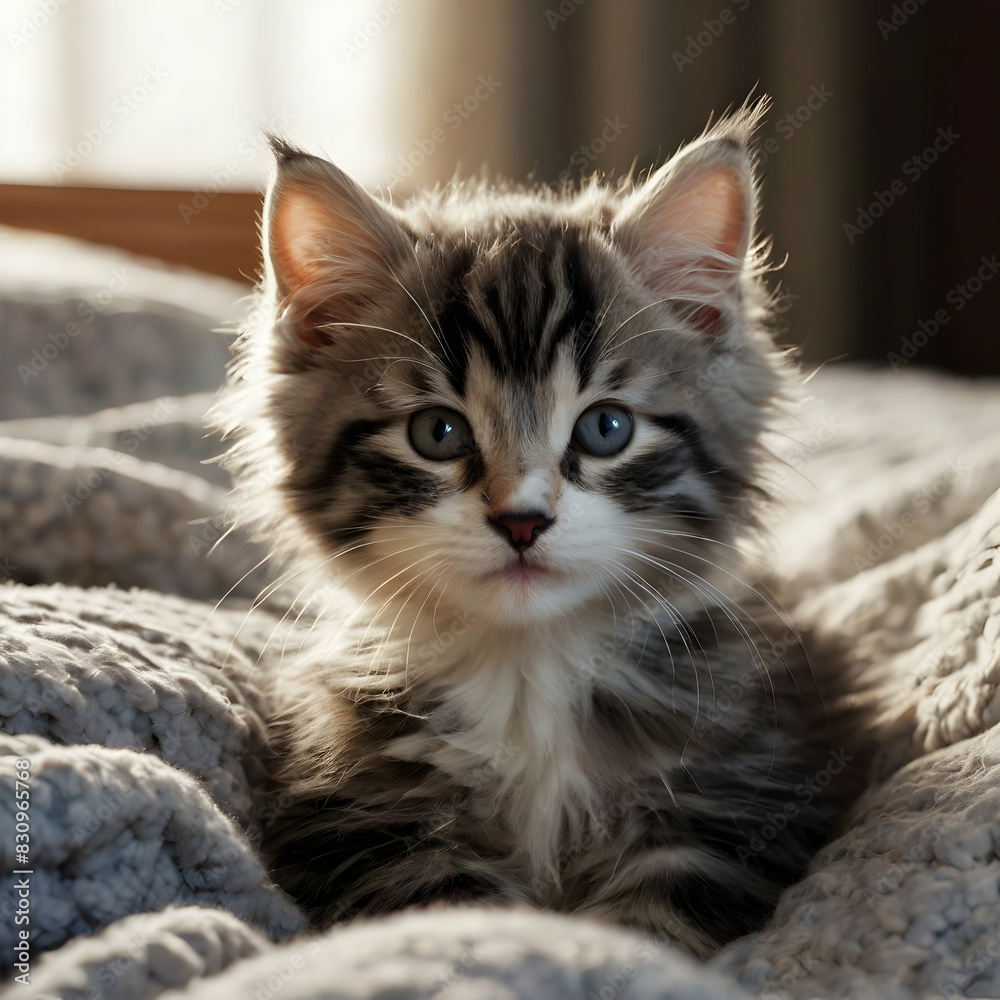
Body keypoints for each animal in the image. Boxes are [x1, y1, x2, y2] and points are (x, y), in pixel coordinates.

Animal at [217, 103, 836, 960]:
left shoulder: (733, 806)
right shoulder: (363, 819)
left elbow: (655, 934)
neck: (527, 672)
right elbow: (451, 917)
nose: (521, 519)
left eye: (607, 428)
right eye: (437, 433)